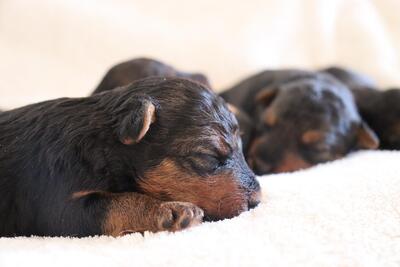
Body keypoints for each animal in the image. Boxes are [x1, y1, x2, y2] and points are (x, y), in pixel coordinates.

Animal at [0, 77, 260, 239]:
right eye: (208, 156)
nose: (258, 201)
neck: (98, 143)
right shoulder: (56, 205)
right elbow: (118, 202)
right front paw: (172, 211)